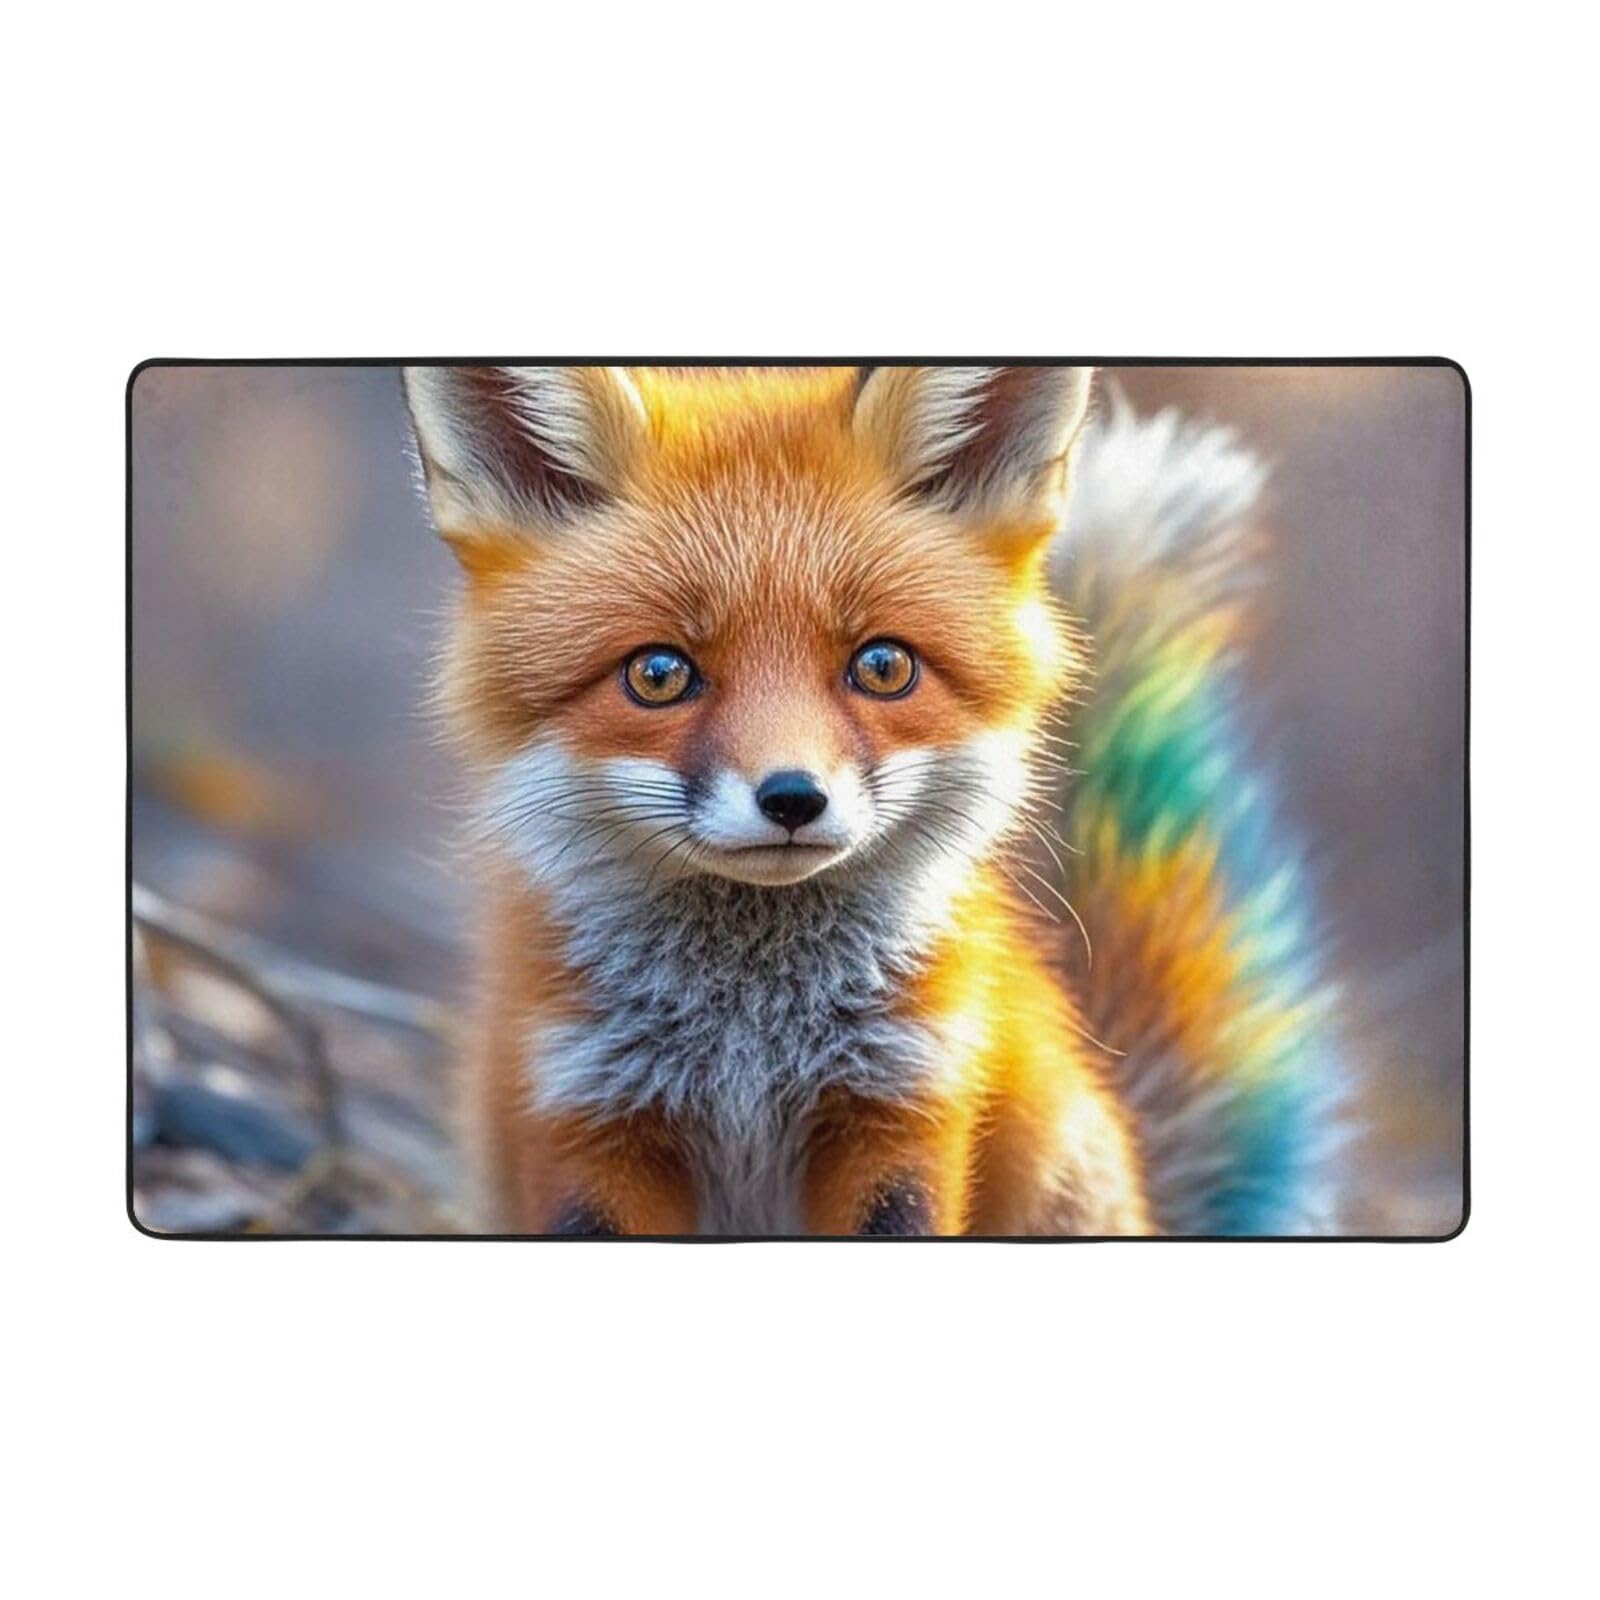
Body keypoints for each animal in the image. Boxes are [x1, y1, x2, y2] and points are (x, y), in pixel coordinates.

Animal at [402, 364, 1341, 1236]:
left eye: (883, 666)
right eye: (658, 674)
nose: (792, 798)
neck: (749, 1039)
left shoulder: (901, 1104)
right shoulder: (588, 1120)